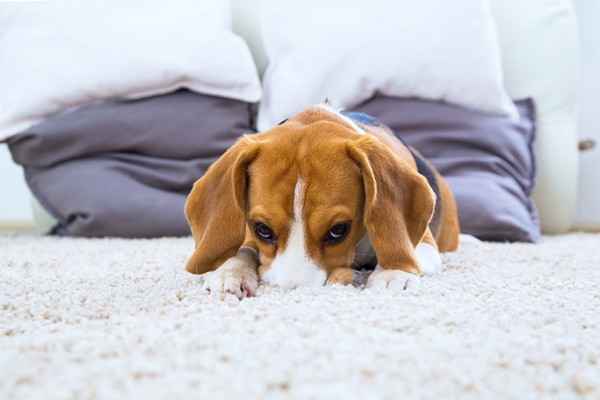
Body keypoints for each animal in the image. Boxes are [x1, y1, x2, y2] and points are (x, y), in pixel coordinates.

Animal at [183, 101, 460, 298]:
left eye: (338, 230)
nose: (295, 293)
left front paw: (393, 274)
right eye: (262, 229)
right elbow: (242, 249)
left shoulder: (426, 244)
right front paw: (230, 271)